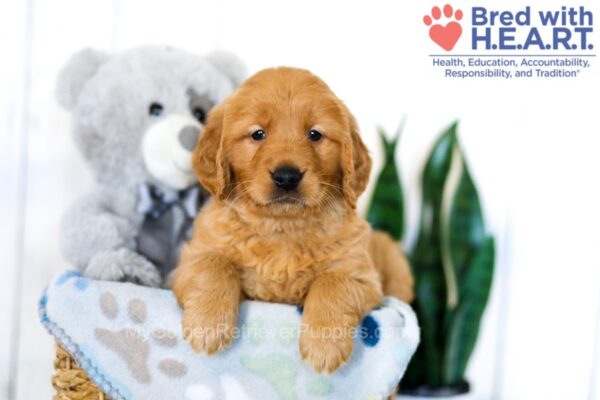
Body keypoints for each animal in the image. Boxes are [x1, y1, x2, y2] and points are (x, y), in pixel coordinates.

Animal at [173, 67, 412, 374]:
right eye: (258, 134)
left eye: (315, 134)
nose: (287, 177)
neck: (282, 226)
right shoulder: (191, 259)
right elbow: (214, 265)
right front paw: (207, 326)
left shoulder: (361, 276)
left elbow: (331, 283)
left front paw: (324, 345)